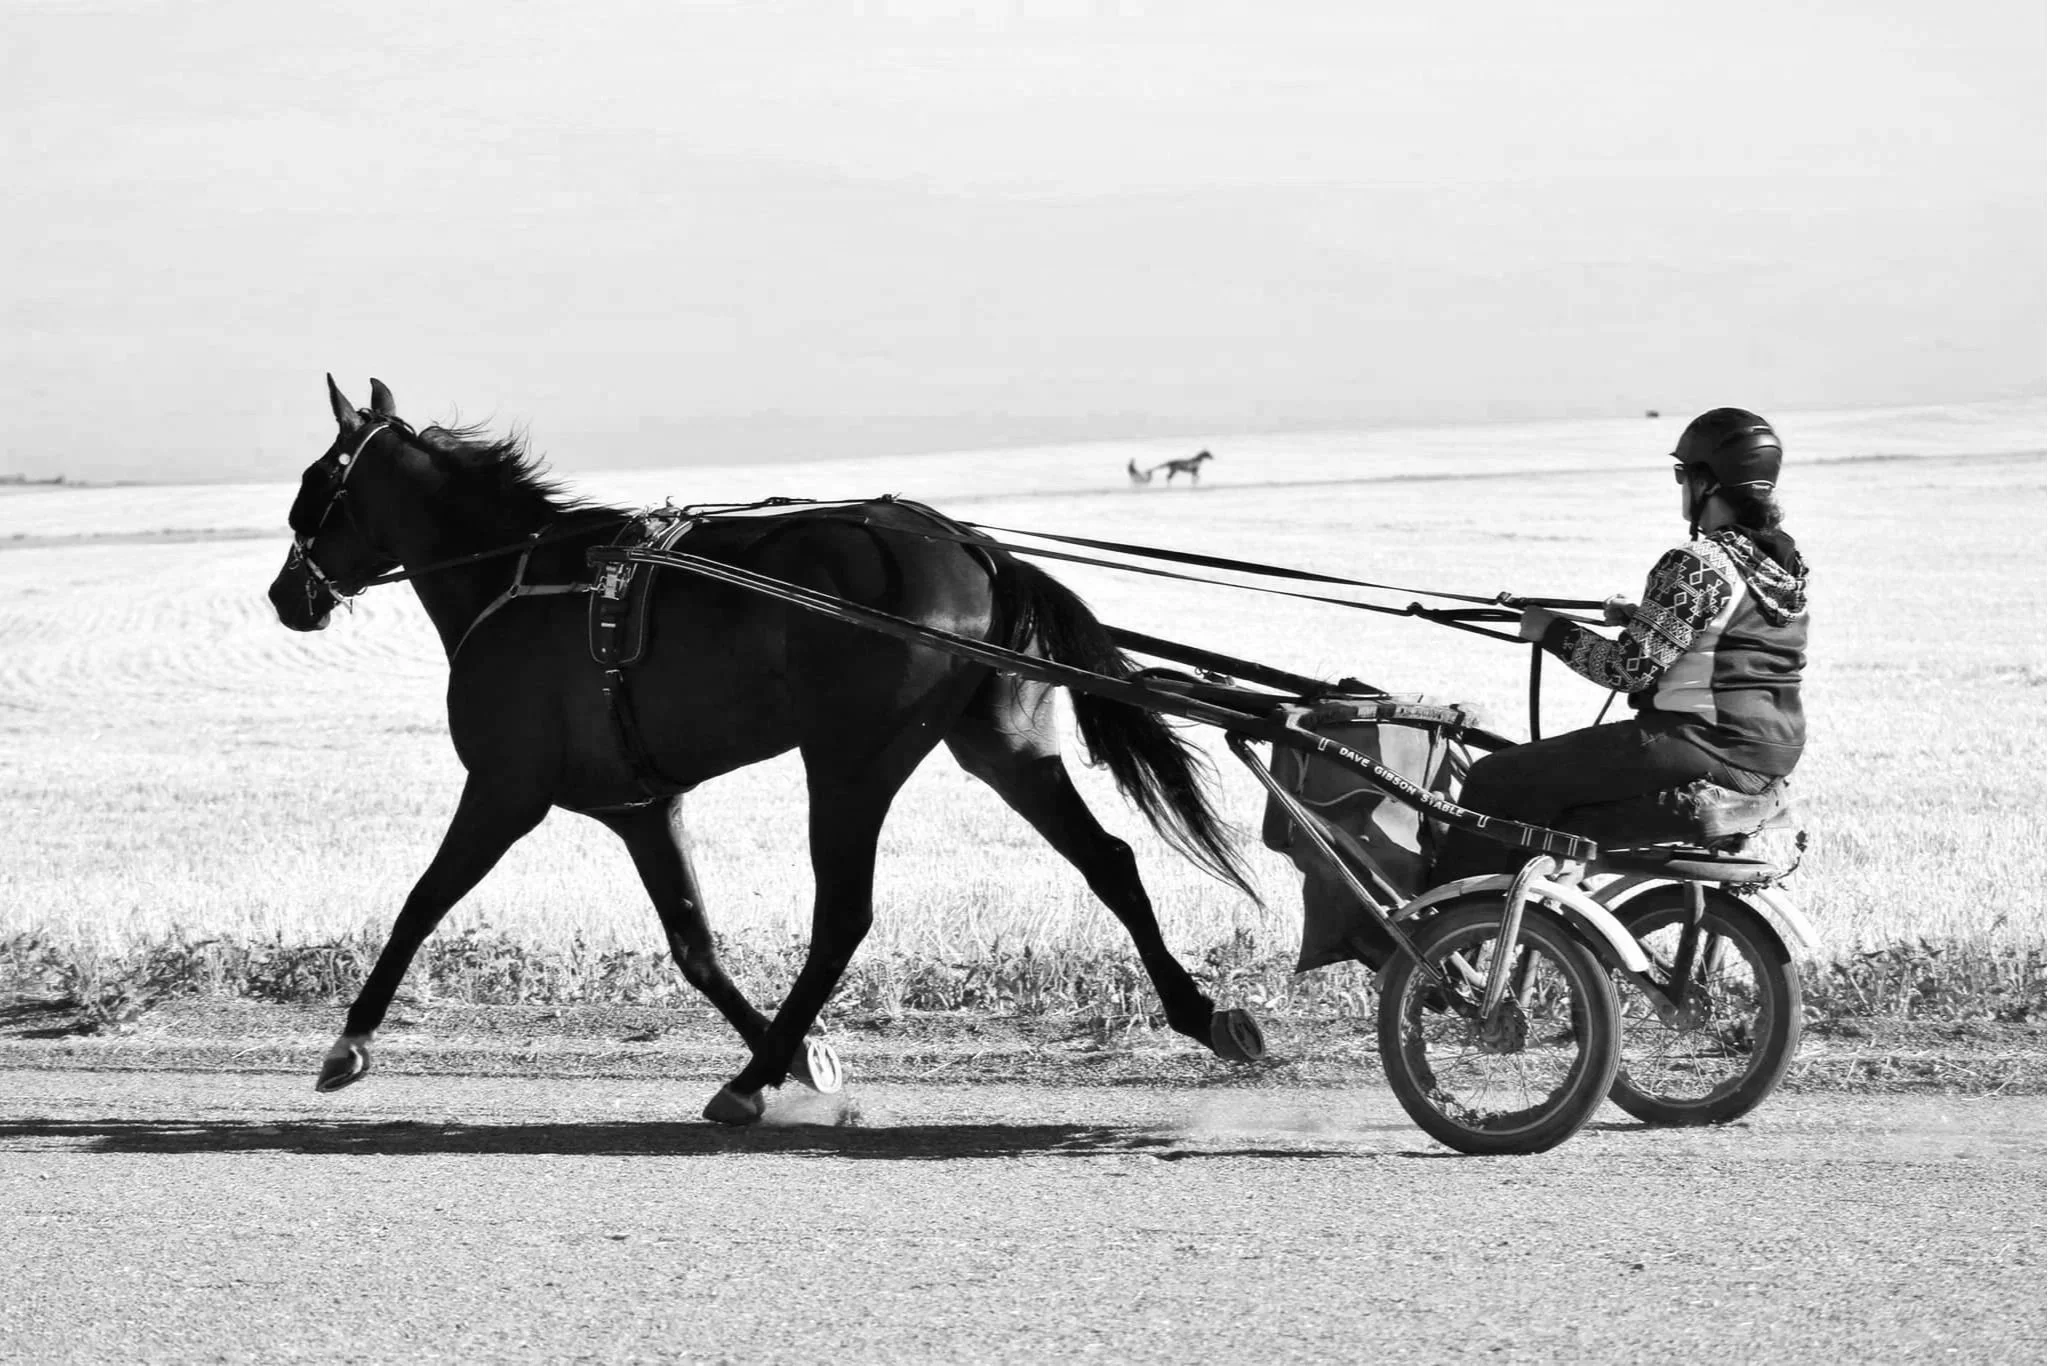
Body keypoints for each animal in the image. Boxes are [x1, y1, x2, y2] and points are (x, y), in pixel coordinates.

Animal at [268, 377, 1266, 1125]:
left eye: (318, 483)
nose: (287, 597)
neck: (518, 579)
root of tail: (972, 548)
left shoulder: (505, 788)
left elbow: (419, 903)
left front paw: (348, 1042)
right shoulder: (640, 808)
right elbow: (694, 945)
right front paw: (806, 1064)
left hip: (852, 758)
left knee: (845, 915)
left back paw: (746, 1087)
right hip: (1000, 746)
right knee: (1109, 861)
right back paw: (1202, 1014)